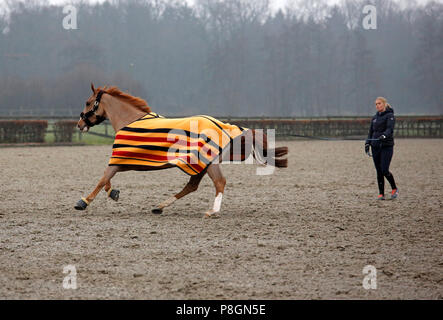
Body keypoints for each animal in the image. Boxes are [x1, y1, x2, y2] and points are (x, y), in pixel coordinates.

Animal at [73, 83, 288, 218]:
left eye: (88, 102)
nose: (79, 124)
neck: (130, 120)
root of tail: (225, 126)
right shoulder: (123, 162)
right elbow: (106, 180)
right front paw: (114, 193)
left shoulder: (119, 160)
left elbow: (102, 179)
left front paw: (83, 202)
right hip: (200, 165)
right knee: (192, 186)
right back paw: (159, 207)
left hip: (208, 163)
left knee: (219, 182)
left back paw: (212, 212)